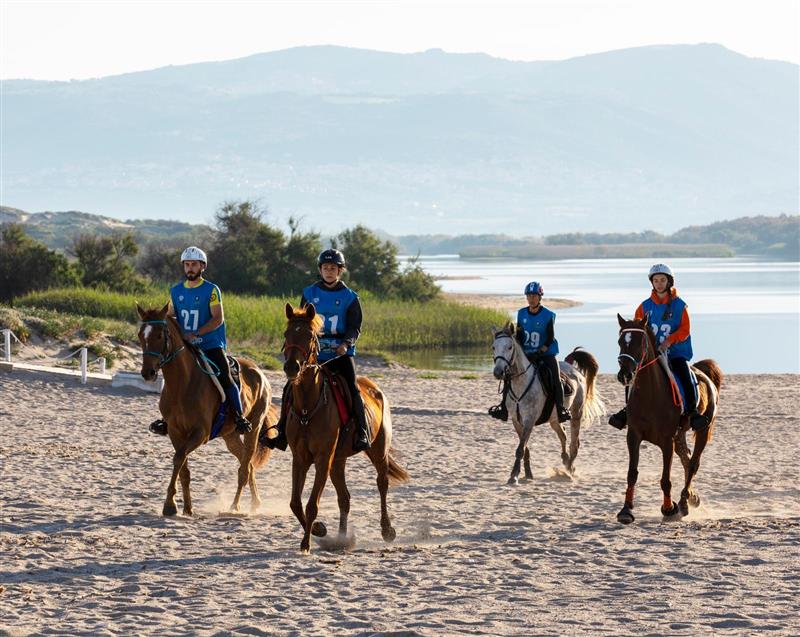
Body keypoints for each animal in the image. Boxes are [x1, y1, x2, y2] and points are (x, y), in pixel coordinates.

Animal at [136, 304, 274, 516]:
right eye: (140, 336)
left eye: (159, 335)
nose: (147, 373)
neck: (182, 385)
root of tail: (258, 371)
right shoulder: (175, 432)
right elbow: (183, 467)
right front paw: (186, 507)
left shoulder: (200, 433)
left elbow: (178, 458)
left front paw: (170, 505)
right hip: (230, 436)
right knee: (248, 462)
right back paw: (255, 502)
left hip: (254, 428)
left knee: (244, 468)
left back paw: (235, 506)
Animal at [282, 304, 410, 552]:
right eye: (286, 334)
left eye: (309, 336)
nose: (292, 367)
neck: (308, 407)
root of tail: (375, 388)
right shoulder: (300, 458)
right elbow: (295, 503)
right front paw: (318, 530)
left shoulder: (323, 458)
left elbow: (312, 504)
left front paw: (306, 543)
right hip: (338, 460)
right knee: (345, 498)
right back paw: (342, 539)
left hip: (378, 452)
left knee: (382, 484)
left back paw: (387, 530)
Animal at [616, 312, 720, 520]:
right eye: (620, 341)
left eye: (639, 342)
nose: (625, 374)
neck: (650, 395)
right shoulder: (633, 436)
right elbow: (632, 473)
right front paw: (626, 510)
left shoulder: (666, 441)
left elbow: (665, 479)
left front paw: (669, 509)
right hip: (679, 436)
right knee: (686, 460)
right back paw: (691, 498)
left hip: (703, 431)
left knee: (693, 463)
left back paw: (683, 501)